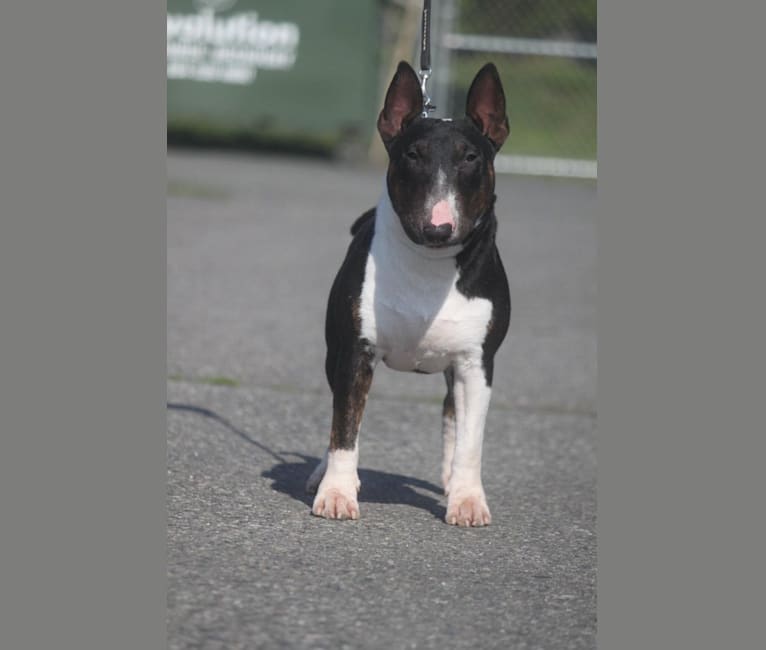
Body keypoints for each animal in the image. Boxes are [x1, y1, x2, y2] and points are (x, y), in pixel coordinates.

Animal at [304, 62, 510, 528]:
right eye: (412, 155)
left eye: (471, 158)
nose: (438, 227)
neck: (430, 263)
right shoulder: (356, 352)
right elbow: (345, 427)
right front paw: (337, 494)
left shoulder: (478, 363)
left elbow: (471, 438)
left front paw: (468, 500)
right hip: (333, 352)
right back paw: (324, 474)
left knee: (452, 413)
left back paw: (452, 483)